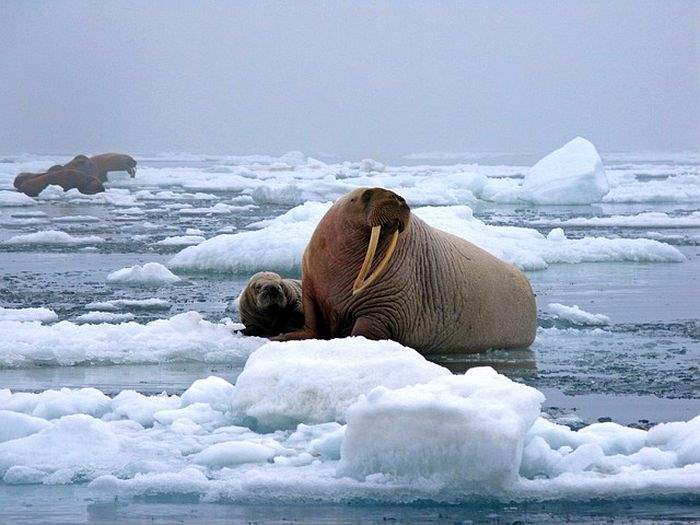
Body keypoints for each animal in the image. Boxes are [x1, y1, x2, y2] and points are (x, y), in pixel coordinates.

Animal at [274, 186, 536, 354]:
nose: (398, 199)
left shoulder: (385, 306)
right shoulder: (311, 286)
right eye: (367, 195)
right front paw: (282, 336)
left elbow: (366, 329)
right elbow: (313, 321)